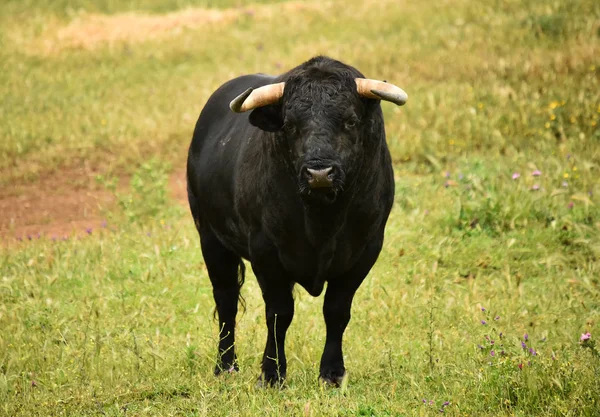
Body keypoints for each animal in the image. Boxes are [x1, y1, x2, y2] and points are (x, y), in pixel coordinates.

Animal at [186, 56, 408, 386]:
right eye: (290, 125)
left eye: (350, 120)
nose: (319, 173)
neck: (322, 220)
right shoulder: (265, 252)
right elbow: (279, 314)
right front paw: (272, 373)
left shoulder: (365, 250)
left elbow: (337, 311)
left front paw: (332, 373)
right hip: (211, 239)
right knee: (226, 300)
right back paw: (225, 365)